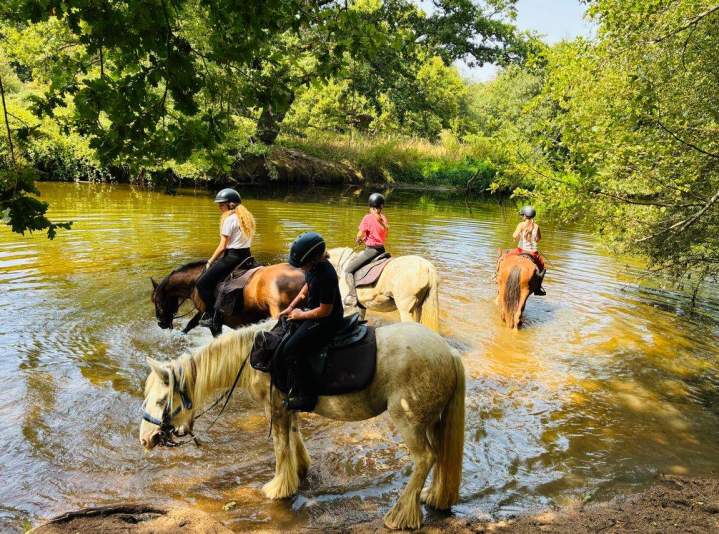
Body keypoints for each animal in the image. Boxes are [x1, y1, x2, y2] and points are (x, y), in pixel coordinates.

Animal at [139, 320, 465, 530]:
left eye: (160, 400)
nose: (145, 438)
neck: (255, 357)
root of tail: (448, 353)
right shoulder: (289, 407)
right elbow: (294, 438)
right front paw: (300, 470)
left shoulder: (276, 409)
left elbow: (281, 447)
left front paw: (279, 488)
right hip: (431, 421)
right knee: (437, 457)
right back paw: (434, 497)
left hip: (409, 421)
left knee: (425, 459)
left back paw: (401, 515)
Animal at [150, 260, 305, 333]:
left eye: (156, 301)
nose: (160, 323)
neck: (195, 282)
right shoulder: (203, 312)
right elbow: (190, 325)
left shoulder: (213, 321)